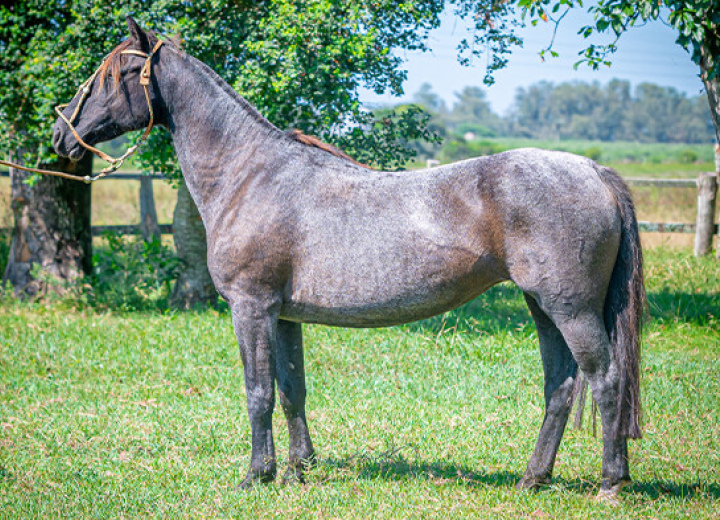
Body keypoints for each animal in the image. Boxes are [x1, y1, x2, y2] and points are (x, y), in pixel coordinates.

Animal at [53, 18, 644, 502]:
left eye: (111, 76)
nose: (62, 134)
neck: (249, 174)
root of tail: (593, 171)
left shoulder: (250, 307)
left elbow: (258, 392)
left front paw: (256, 475)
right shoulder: (283, 315)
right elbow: (291, 390)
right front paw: (298, 470)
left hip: (570, 308)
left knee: (605, 379)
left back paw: (610, 483)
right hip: (542, 306)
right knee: (561, 386)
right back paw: (532, 479)